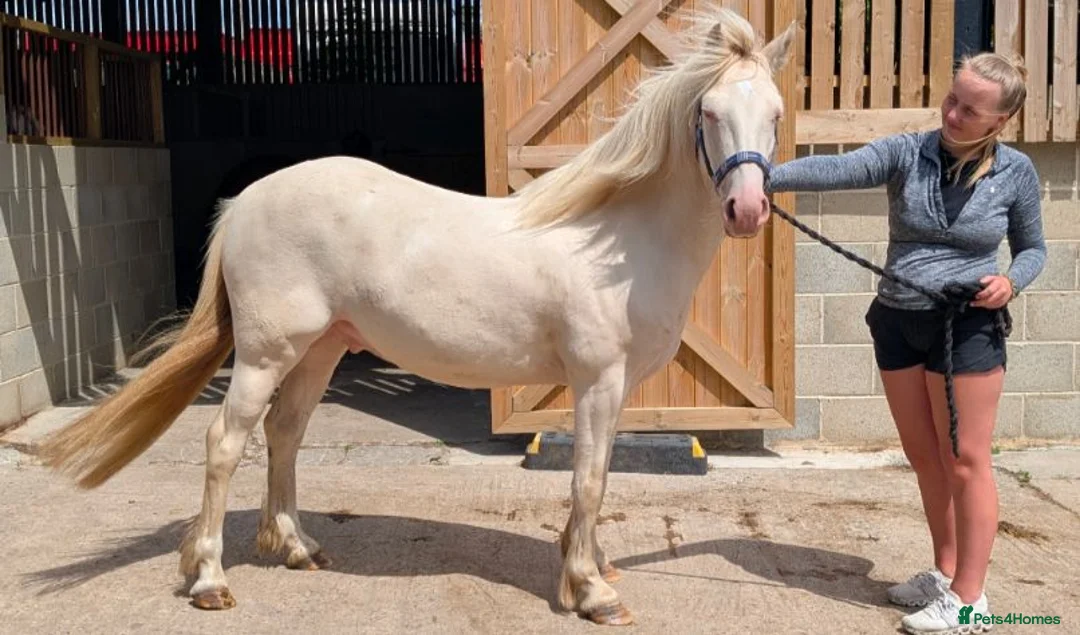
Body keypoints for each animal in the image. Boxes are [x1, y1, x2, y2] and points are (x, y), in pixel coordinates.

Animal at [39, 6, 795, 626]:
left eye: (778, 114)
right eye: (708, 111)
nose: (747, 210)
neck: (617, 240)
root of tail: (246, 199)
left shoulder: (615, 386)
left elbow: (599, 475)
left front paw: (591, 566)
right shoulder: (597, 379)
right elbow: (588, 477)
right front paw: (592, 591)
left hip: (321, 349)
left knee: (285, 434)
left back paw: (299, 547)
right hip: (263, 354)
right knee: (226, 443)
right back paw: (209, 581)